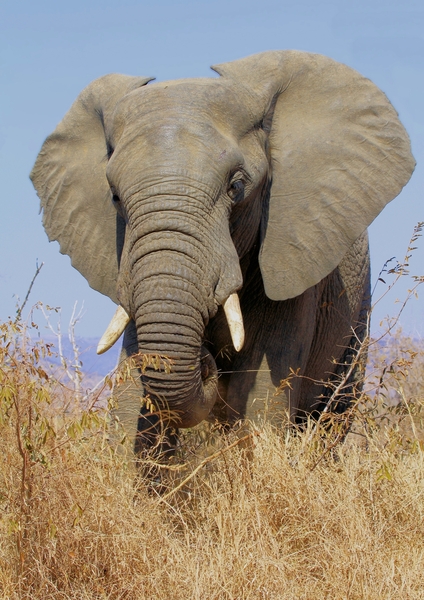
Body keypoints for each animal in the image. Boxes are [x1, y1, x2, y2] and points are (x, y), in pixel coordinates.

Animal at [31, 51, 416, 454]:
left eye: (237, 187)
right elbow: (132, 399)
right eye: (115, 197)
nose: (207, 361)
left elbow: (262, 398)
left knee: (332, 415)